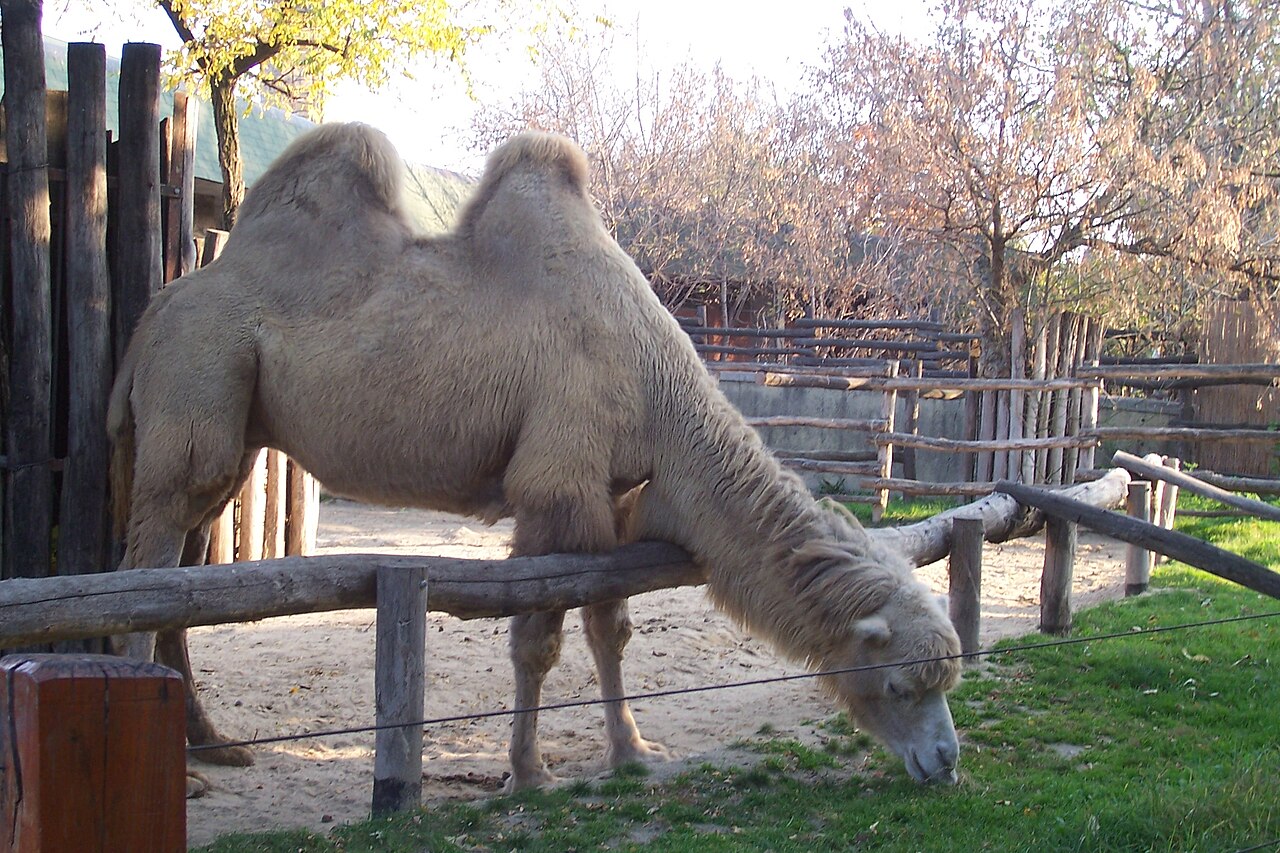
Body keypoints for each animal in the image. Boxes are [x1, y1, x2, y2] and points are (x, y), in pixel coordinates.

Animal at [108, 123, 964, 791]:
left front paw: (631, 750)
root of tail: (155, 313)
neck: (660, 390)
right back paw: (178, 763)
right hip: (199, 381)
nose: (946, 761)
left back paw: (214, 744)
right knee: (145, 563)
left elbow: (609, 627)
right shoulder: (557, 485)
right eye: (904, 682)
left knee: (181, 572)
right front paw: (527, 770)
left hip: (238, 435)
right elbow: (538, 640)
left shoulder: (612, 495)